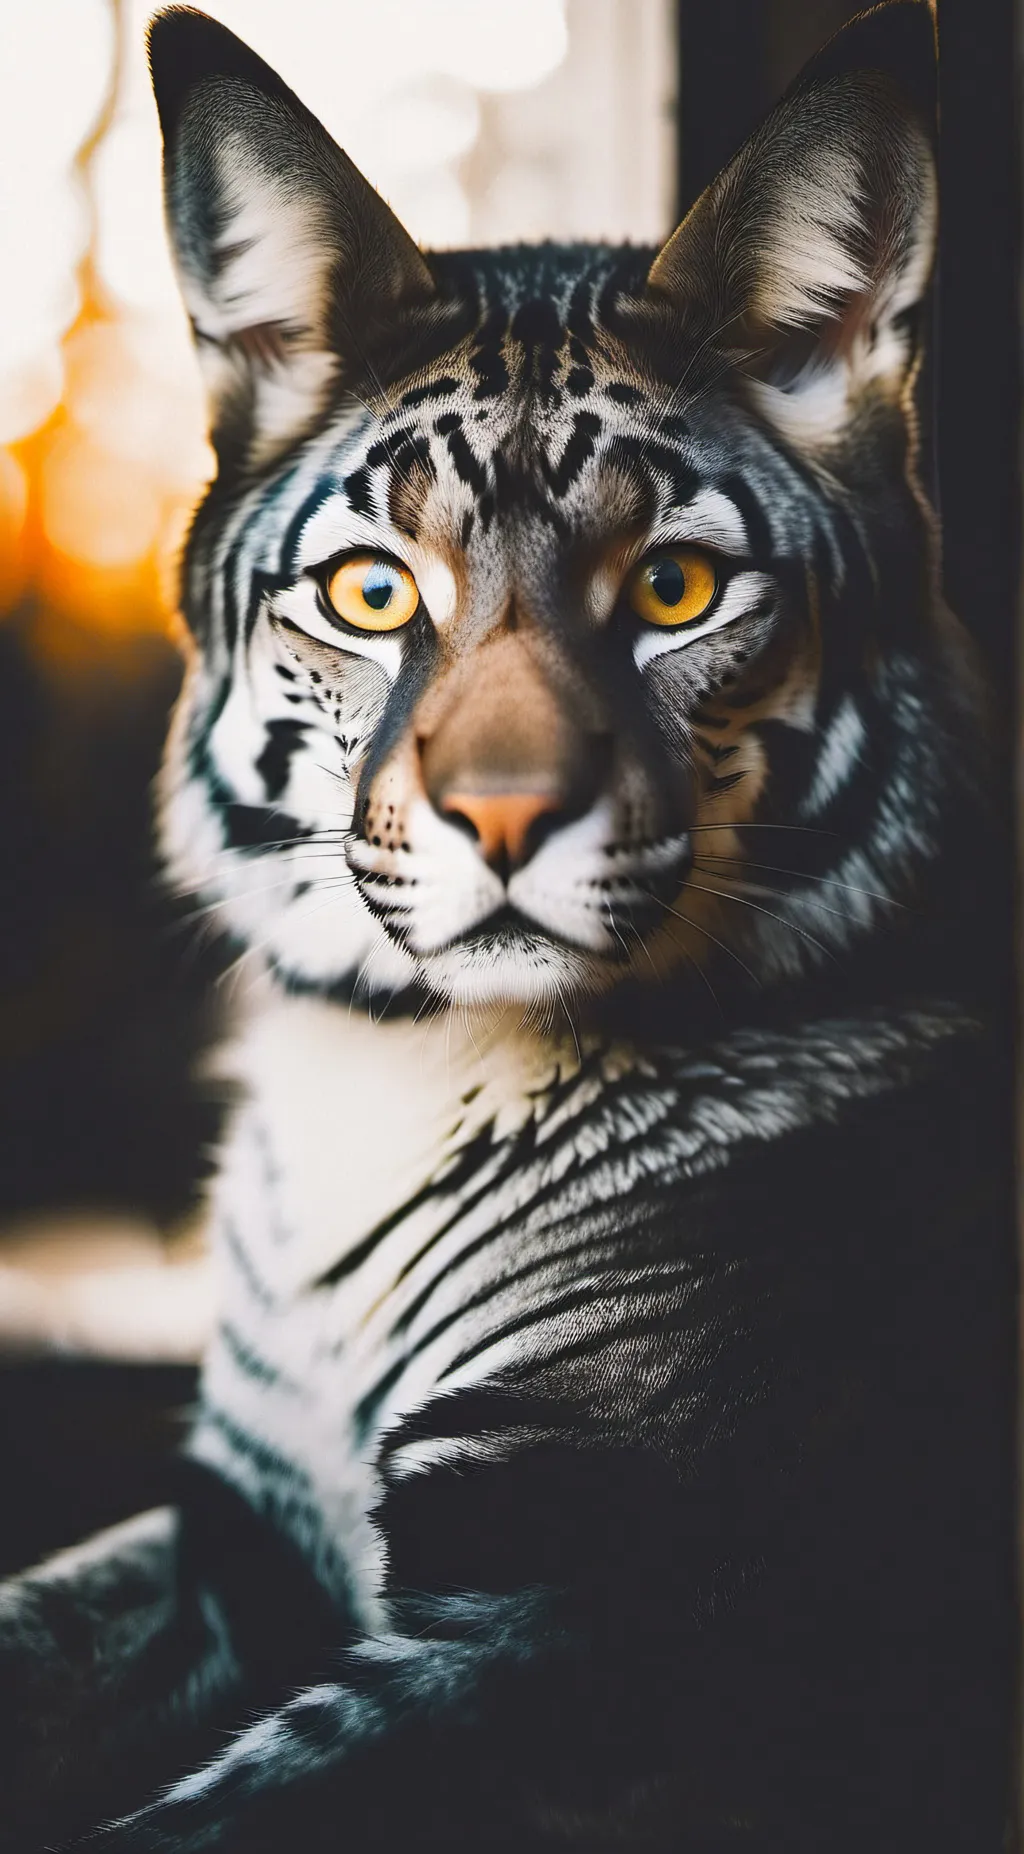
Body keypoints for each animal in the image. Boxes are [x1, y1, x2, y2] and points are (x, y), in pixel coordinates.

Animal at [0, 4, 1012, 1851]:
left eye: (674, 588)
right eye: (371, 591)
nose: (506, 818)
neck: (410, 1071)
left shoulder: (593, 1620)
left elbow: (215, 1812)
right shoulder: (228, 1534)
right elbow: (35, 1631)